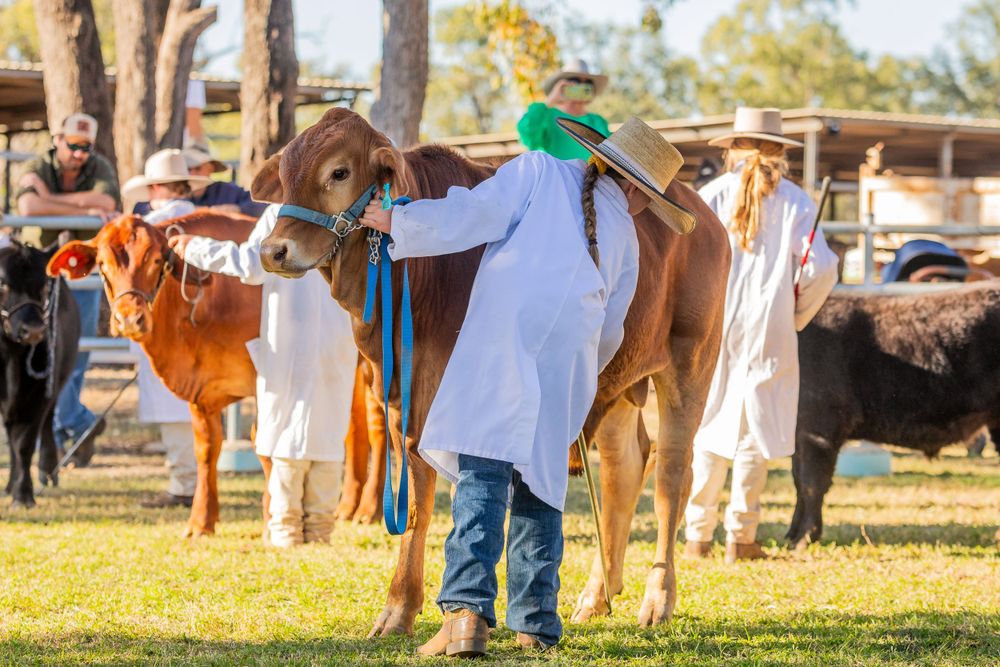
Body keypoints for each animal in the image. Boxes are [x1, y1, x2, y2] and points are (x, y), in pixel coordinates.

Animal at [1, 240, 78, 507]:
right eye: (3, 283)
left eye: (43, 285)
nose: (33, 330)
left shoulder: (38, 395)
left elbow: (24, 445)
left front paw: (23, 495)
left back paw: (46, 471)